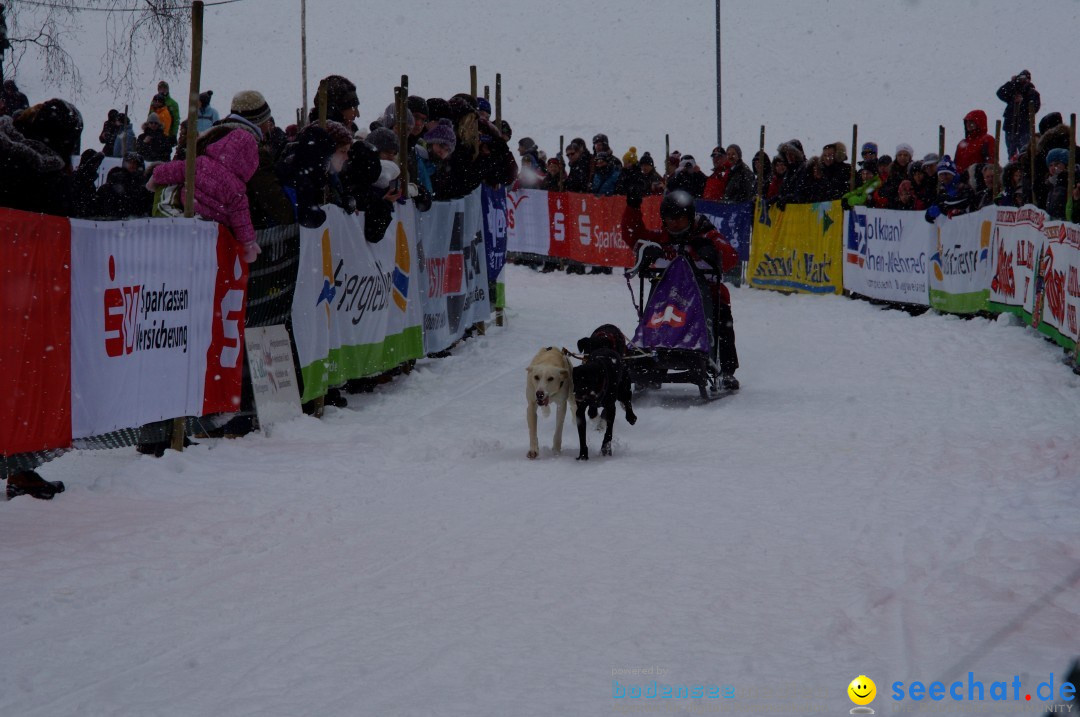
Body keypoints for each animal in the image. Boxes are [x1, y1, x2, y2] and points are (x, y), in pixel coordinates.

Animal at [570, 323, 635, 460]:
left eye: (588, 382)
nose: (577, 395)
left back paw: (631, 417)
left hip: (623, 389)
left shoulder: (611, 408)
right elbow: (582, 435)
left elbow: (608, 433)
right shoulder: (580, 411)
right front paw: (583, 455)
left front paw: (606, 449)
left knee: (627, 400)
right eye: (575, 381)